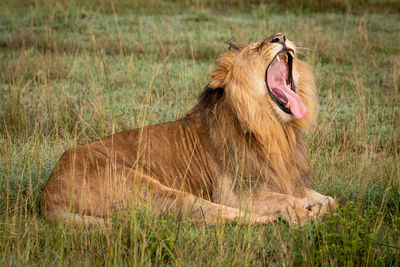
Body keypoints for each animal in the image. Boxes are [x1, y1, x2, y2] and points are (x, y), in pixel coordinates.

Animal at [40, 32, 334, 227]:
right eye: (255, 48)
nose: (280, 37)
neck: (273, 129)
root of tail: (48, 193)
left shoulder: (285, 179)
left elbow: (324, 197)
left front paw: (319, 203)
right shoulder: (233, 192)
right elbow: (288, 200)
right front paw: (304, 212)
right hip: (150, 188)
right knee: (214, 214)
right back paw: (286, 218)